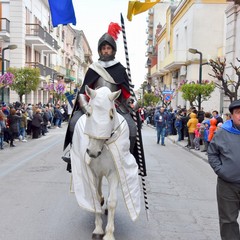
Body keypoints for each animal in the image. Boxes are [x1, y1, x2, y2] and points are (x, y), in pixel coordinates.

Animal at [69, 86, 141, 240]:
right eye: (88, 113)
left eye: (111, 115)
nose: (92, 152)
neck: (102, 147)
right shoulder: (91, 171)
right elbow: (94, 198)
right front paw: (98, 229)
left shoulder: (115, 172)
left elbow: (113, 201)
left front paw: (108, 233)